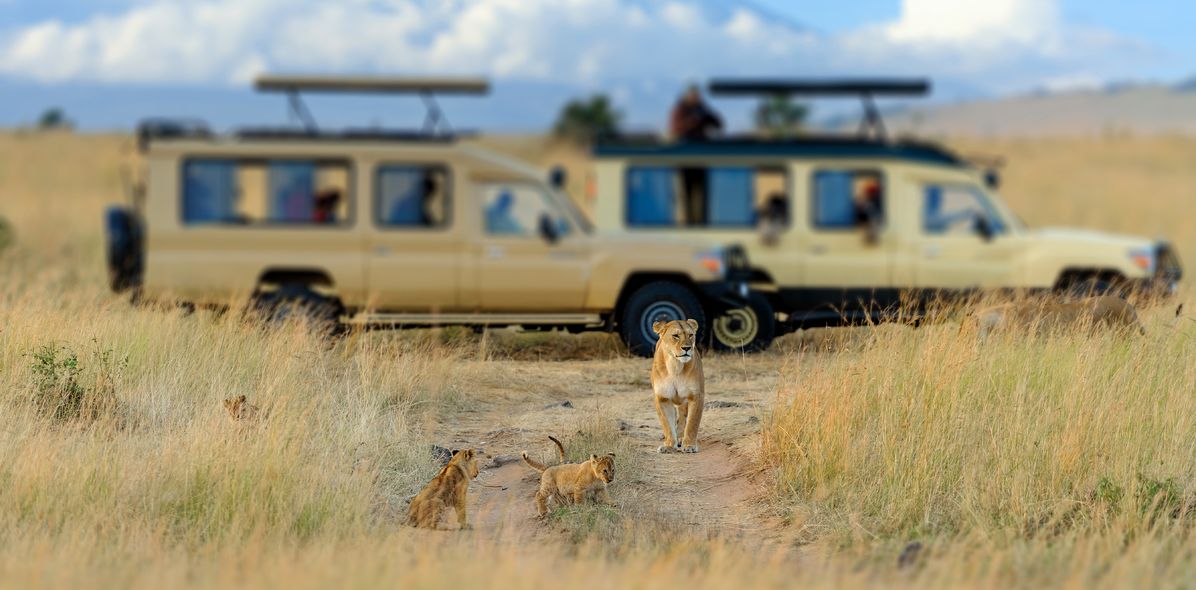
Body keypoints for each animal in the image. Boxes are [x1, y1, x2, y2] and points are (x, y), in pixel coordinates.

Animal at [650, 318, 704, 453]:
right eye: (675, 336)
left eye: (690, 335)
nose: (687, 348)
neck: (675, 366)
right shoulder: (662, 398)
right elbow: (667, 424)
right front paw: (669, 445)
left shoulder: (696, 396)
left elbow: (692, 423)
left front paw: (689, 445)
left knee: (683, 418)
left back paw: (680, 438)